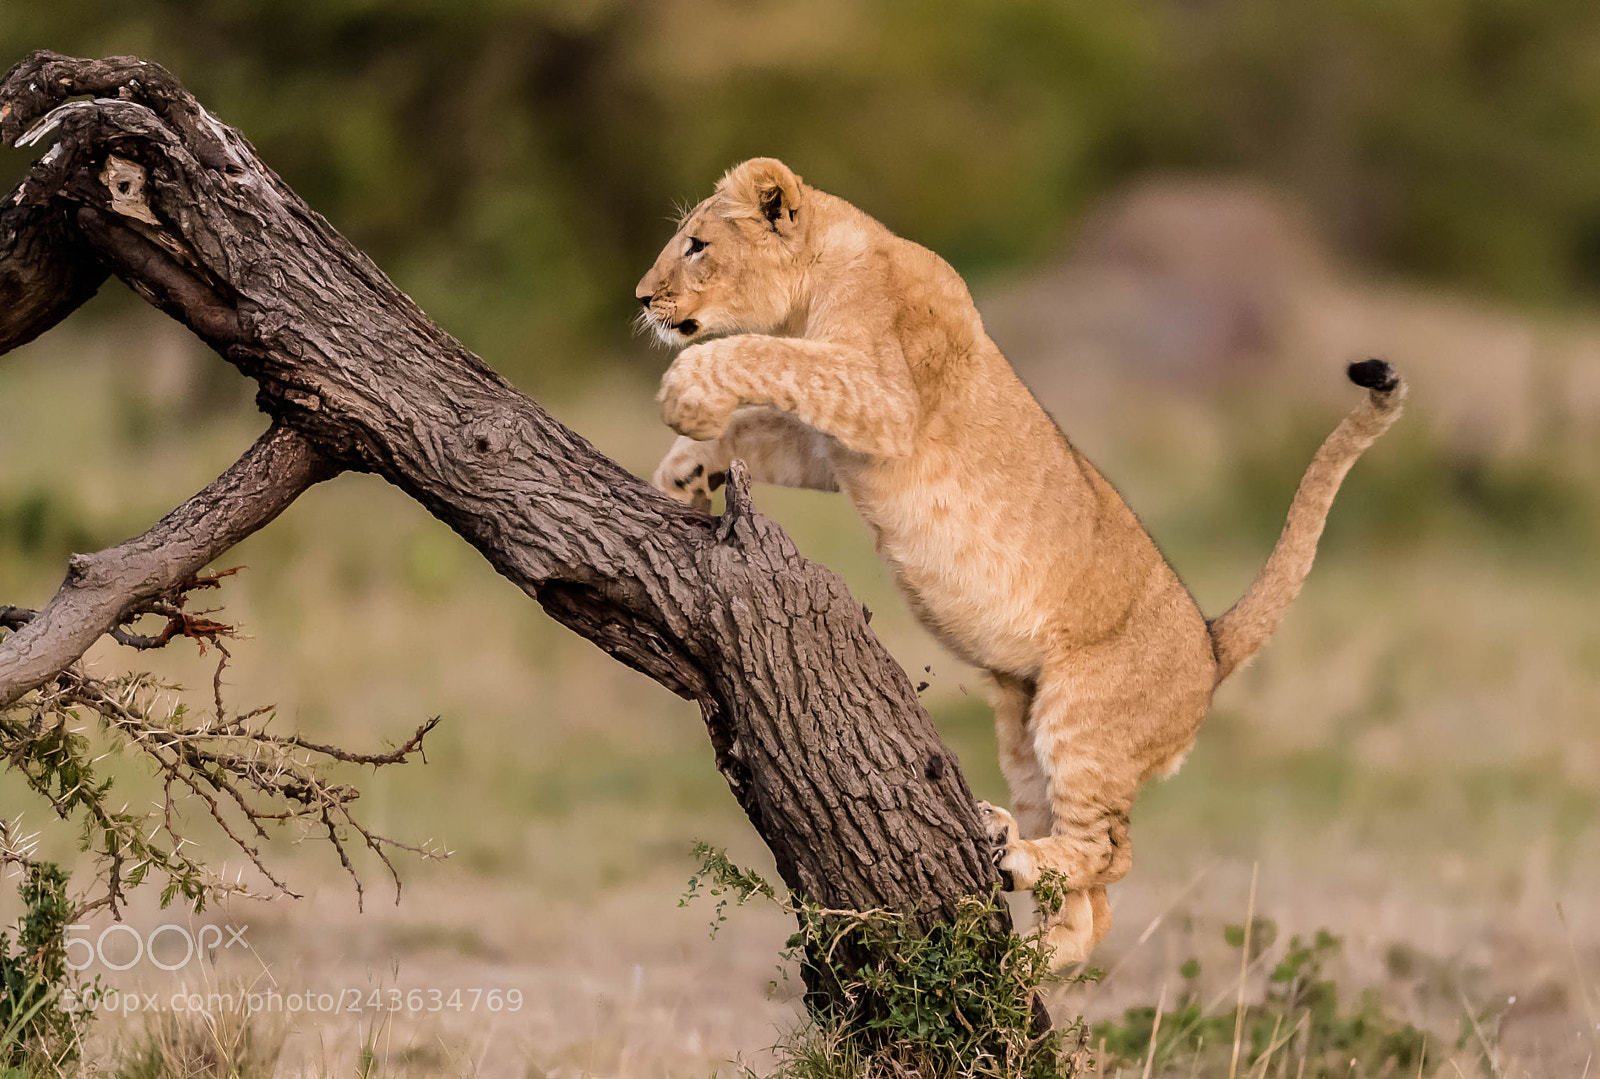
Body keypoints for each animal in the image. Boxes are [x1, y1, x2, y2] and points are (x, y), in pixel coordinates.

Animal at [636, 158, 1405, 964]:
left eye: (695, 244)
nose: (642, 298)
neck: (829, 270)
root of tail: (1209, 644)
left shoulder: (883, 400)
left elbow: (761, 358)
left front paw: (685, 395)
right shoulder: (834, 443)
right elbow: (760, 423)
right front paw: (683, 472)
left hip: (1083, 719)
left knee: (1112, 853)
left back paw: (1015, 865)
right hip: (1024, 723)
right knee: (1095, 909)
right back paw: (1026, 933)